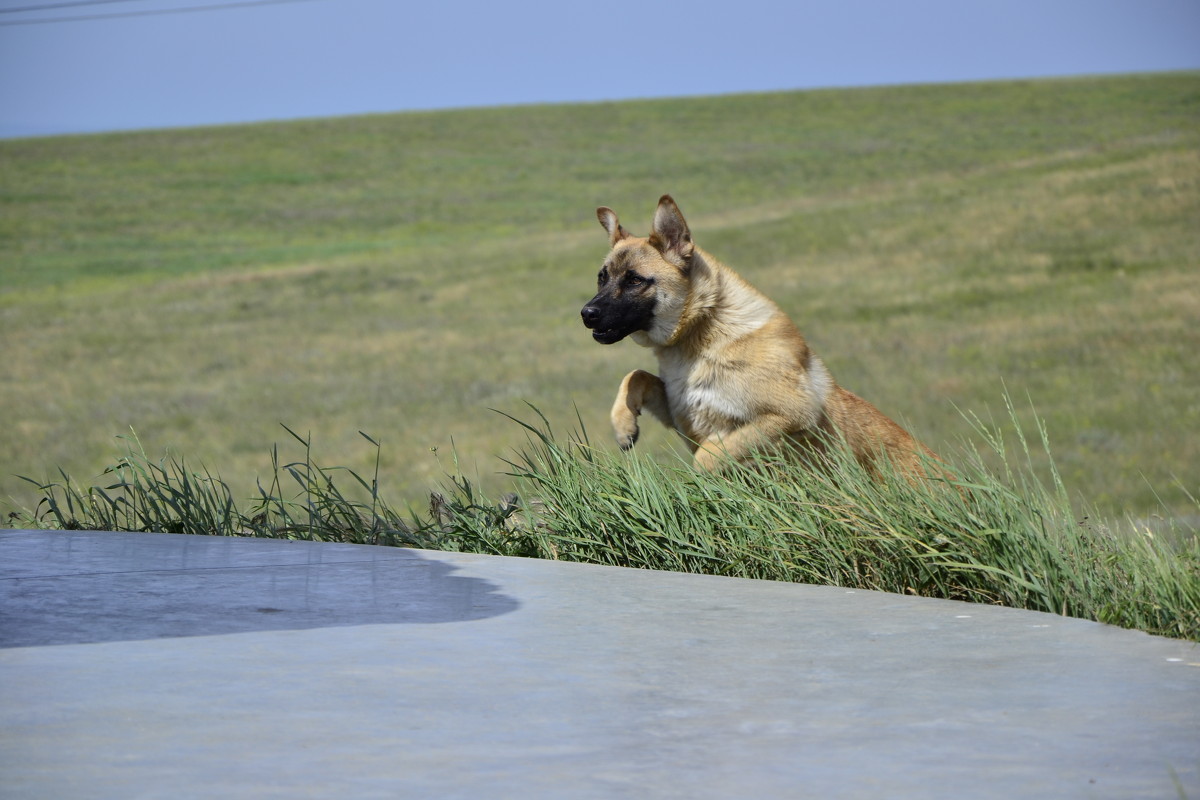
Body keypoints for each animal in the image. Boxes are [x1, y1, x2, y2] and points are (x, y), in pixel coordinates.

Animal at [576, 194, 931, 479]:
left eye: (635, 280)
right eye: (602, 278)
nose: (586, 314)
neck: (703, 330)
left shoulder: (790, 414)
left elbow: (707, 456)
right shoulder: (682, 412)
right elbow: (636, 376)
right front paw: (624, 424)